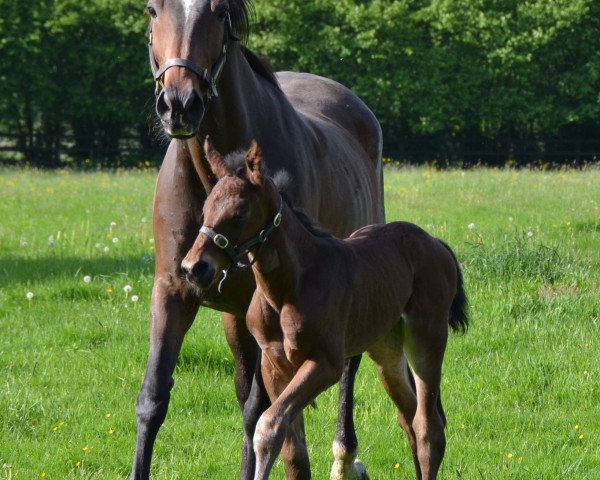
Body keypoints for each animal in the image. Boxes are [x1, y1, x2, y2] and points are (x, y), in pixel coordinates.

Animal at [184, 140, 468, 480]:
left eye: (239, 213)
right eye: (205, 209)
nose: (194, 267)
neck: (289, 287)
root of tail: (435, 242)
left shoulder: (326, 363)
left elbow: (268, 425)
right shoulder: (274, 365)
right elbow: (293, 453)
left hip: (427, 336)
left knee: (429, 427)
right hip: (385, 348)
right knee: (410, 418)